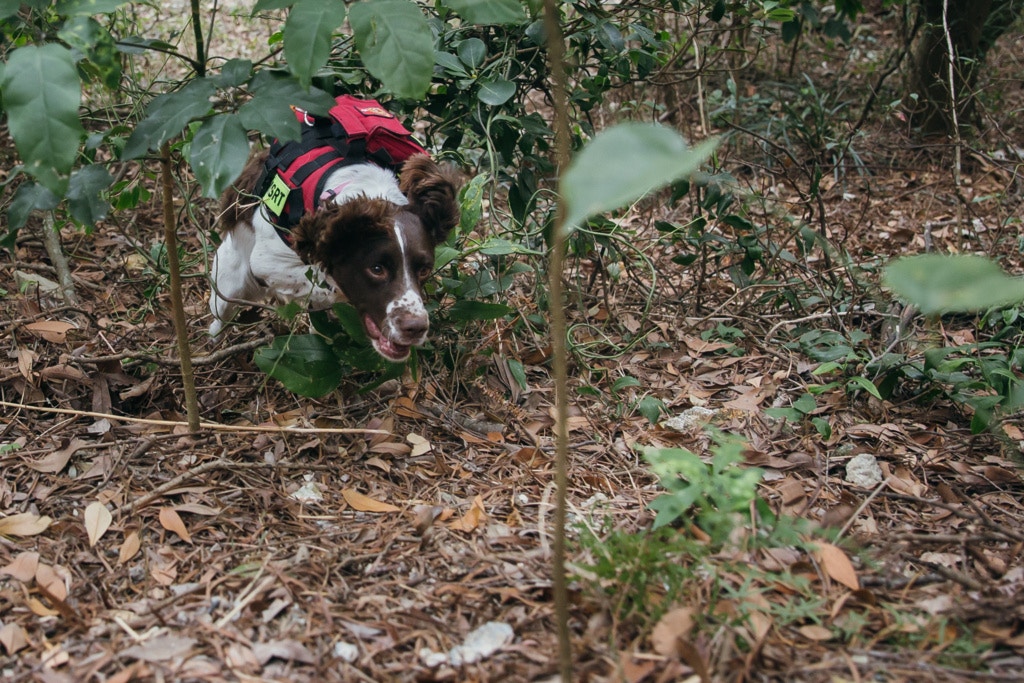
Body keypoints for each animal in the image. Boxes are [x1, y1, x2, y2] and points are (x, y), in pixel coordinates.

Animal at [207, 149, 460, 362]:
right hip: (229, 283)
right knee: (220, 315)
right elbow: (319, 281)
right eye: (377, 269)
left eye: (424, 269)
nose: (416, 328)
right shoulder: (267, 262)